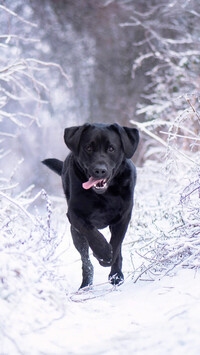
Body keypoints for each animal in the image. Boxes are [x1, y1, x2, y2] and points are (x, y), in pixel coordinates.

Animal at [42, 122, 139, 290]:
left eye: (111, 148)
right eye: (88, 148)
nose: (99, 170)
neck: (105, 195)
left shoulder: (124, 216)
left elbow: (116, 243)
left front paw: (110, 263)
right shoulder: (74, 214)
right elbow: (91, 232)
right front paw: (103, 252)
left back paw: (116, 276)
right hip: (75, 234)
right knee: (85, 261)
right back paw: (86, 284)